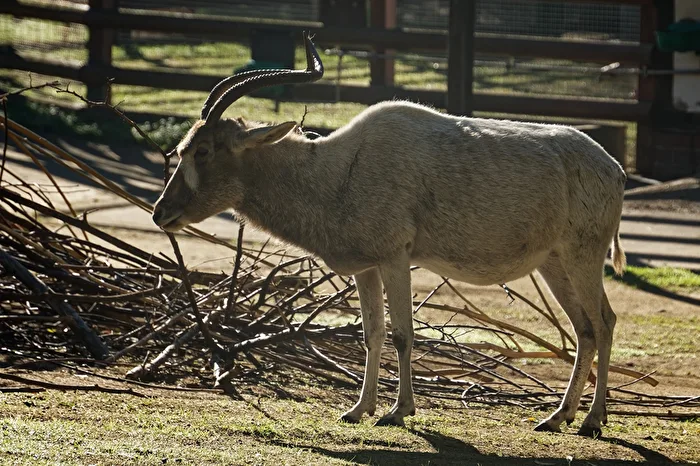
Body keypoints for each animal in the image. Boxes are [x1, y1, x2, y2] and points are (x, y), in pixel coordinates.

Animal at [152, 34, 626, 438]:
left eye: (203, 151)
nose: (161, 213)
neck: (338, 171)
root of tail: (614, 169)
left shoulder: (396, 258)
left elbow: (402, 333)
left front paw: (399, 412)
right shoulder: (366, 267)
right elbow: (372, 334)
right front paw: (359, 409)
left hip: (583, 256)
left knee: (604, 322)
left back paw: (592, 421)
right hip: (554, 263)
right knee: (584, 328)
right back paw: (558, 417)